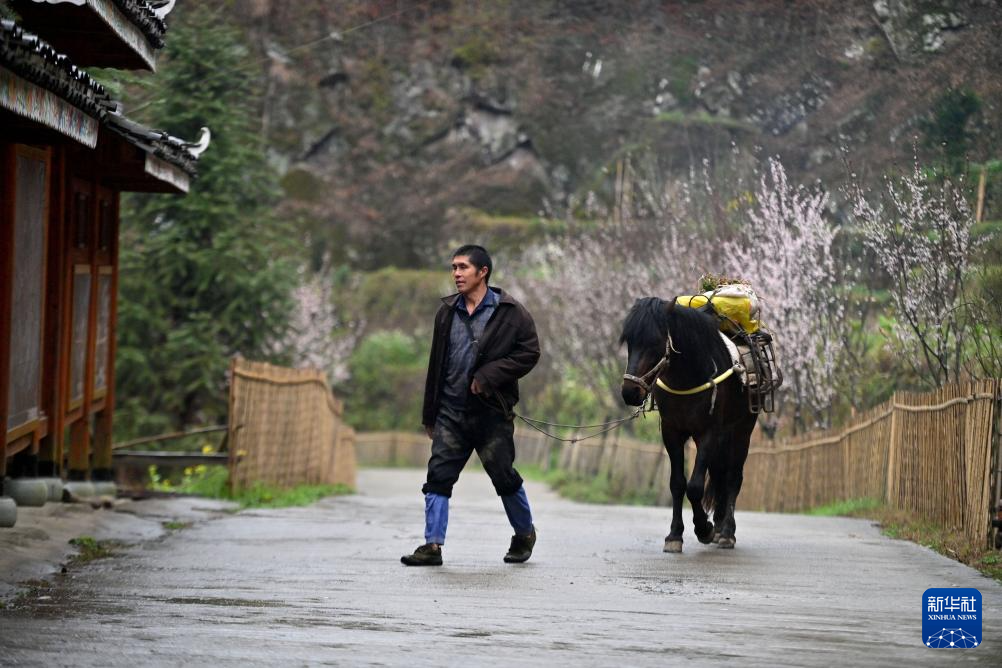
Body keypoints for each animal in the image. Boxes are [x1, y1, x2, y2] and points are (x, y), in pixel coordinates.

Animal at [621, 298, 753, 552]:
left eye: (655, 341)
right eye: (629, 341)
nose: (630, 392)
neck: (689, 376)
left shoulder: (708, 432)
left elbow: (694, 486)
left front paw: (703, 529)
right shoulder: (672, 432)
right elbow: (677, 483)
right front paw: (674, 535)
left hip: (742, 429)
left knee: (733, 477)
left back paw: (726, 532)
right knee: (719, 474)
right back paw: (719, 525)